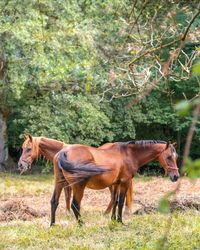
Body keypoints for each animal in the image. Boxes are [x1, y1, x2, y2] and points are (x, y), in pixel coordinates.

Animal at [52, 141, 180, 225]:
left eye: (176, 157)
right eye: (169, 157)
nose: (176, 176)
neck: (128, 154)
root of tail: (64, 152)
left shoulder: (115, 184)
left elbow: (115, 200)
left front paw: (113, 219)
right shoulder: (125, 182)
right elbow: (121, 201)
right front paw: (120, 221)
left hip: (59, 182)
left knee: (54, 201)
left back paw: (52, 225)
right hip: (78, 186)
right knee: (75, 204)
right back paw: (82, 224)